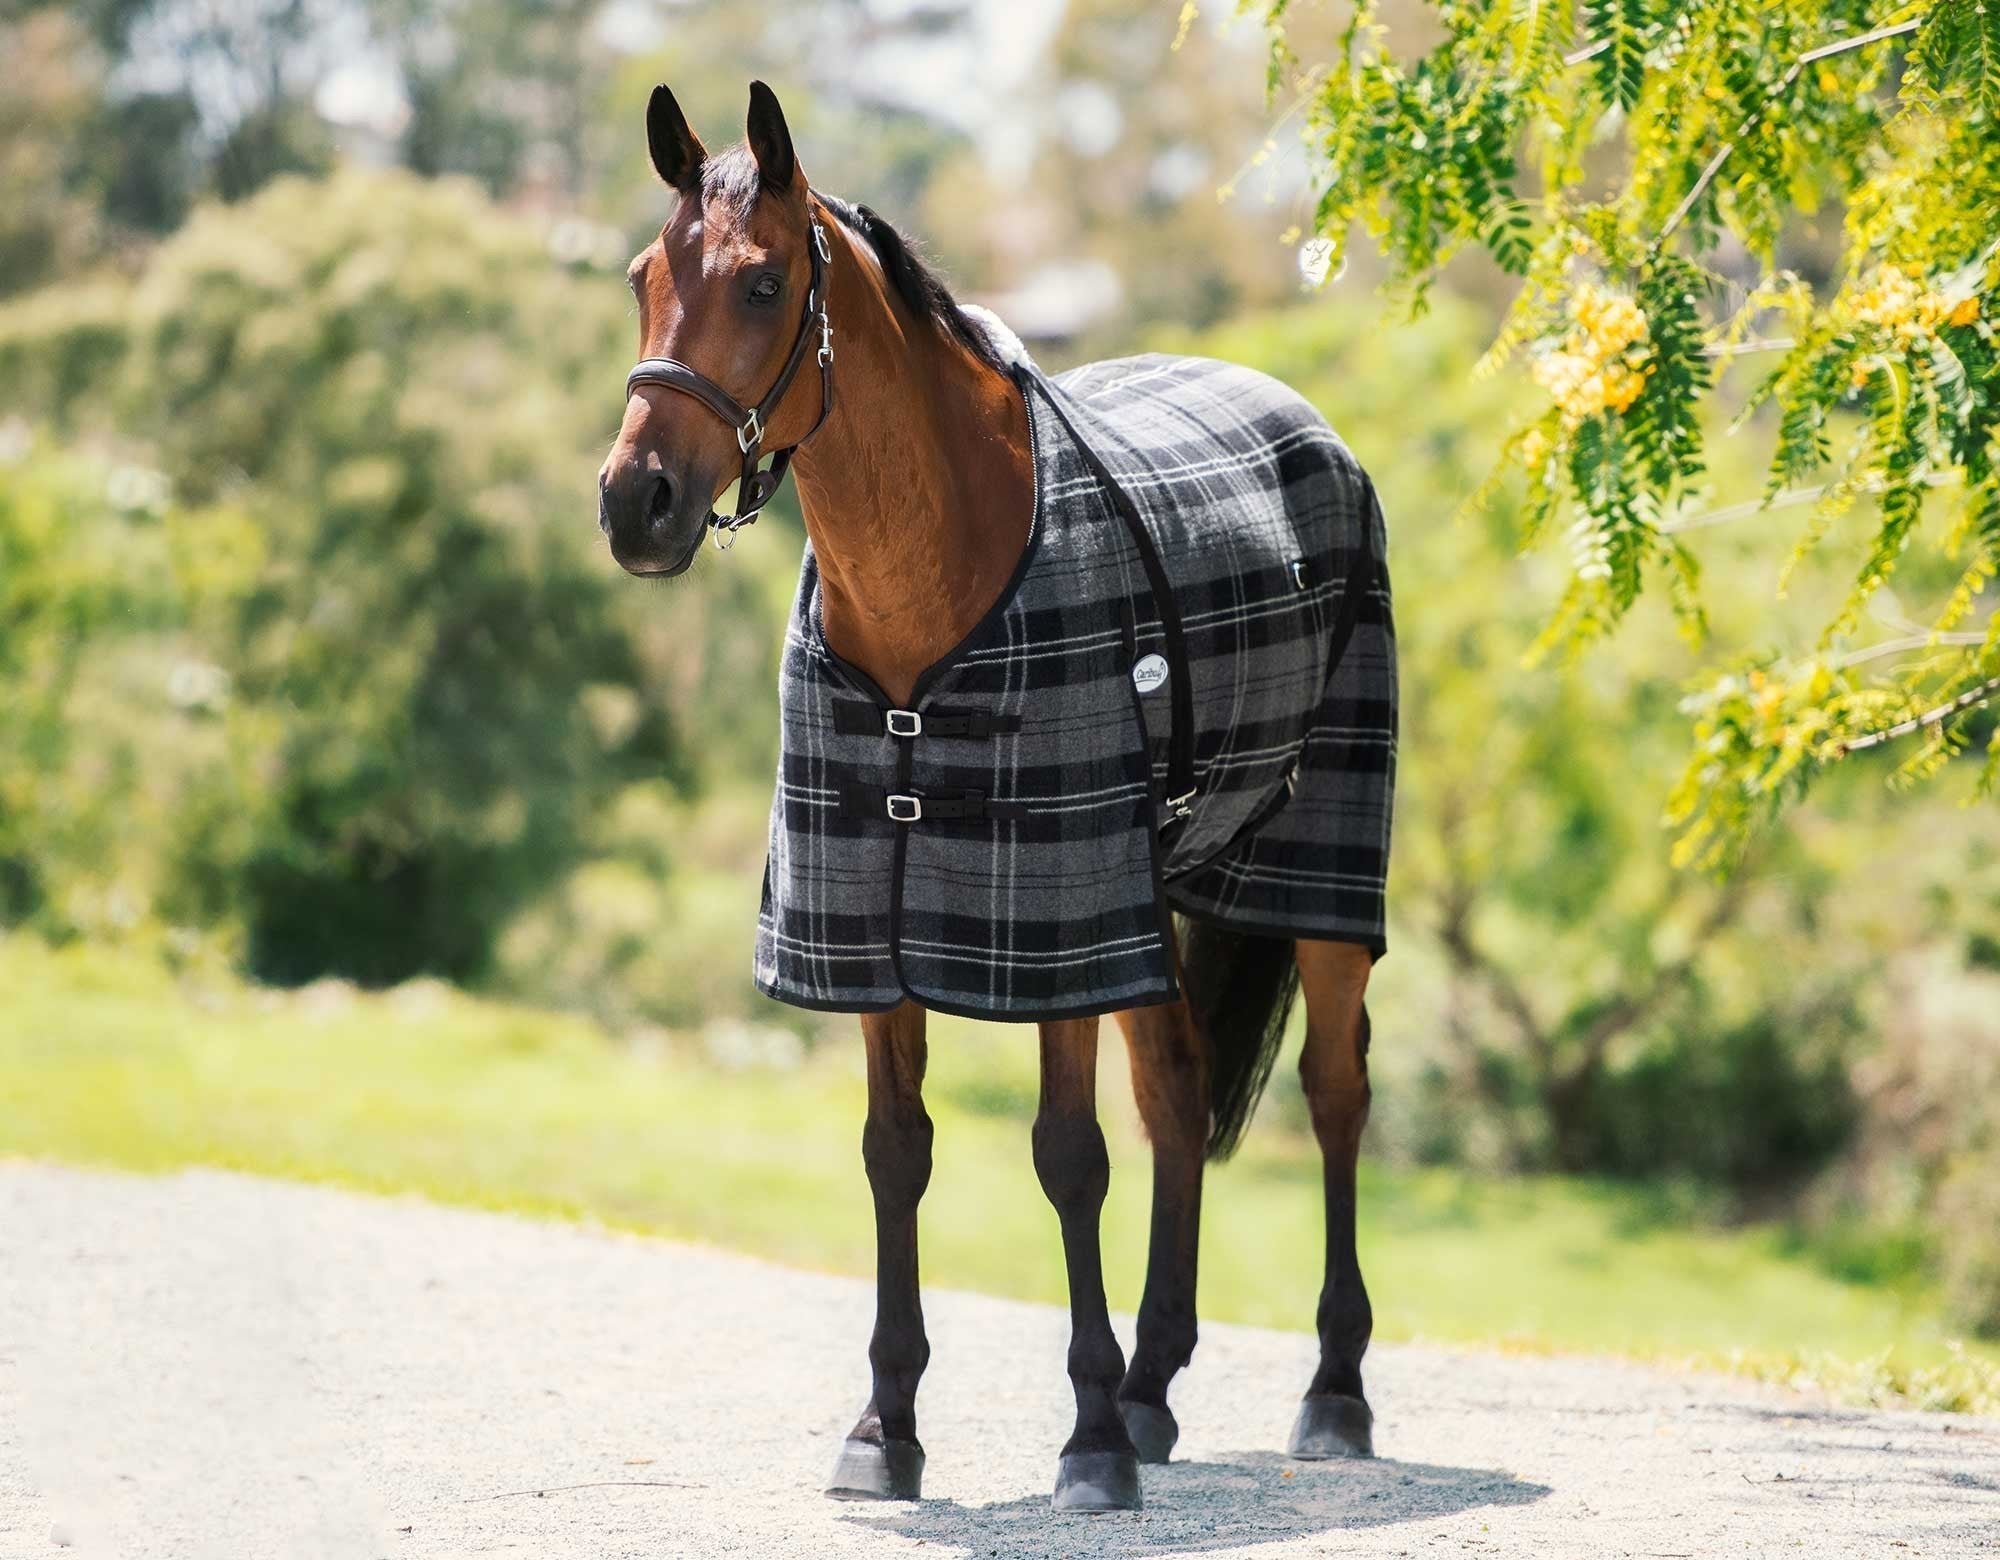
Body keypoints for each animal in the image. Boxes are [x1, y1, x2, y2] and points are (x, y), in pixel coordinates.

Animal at [597, 81, 1396, 1514]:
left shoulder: (1058, 931)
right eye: (643, 277)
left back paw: (1330, 1393)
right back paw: (1151, 1388)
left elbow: (1066, 1157)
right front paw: (886, 1427)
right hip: (1161, 887)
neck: (939, 585)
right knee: (1179, 1095)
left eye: (759, 284)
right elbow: (895, 1152)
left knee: (1333, 1094)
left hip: (1315, 874)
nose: (637, 504)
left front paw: (1081, 1446)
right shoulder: (877, 927)